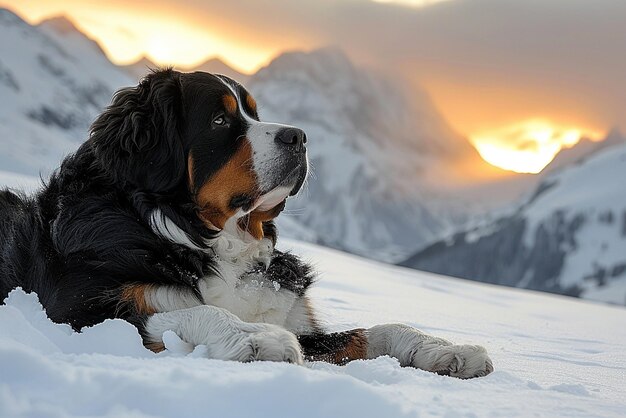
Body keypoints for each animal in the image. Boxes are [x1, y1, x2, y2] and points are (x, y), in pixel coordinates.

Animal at [0, 69, 492, 378]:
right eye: (220, 120)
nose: (300, 136)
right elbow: (185, 311)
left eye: (254, 112)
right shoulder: (75, 311)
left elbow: (375, 331)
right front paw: (255, 337)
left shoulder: (304, 321)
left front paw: (445, 349)